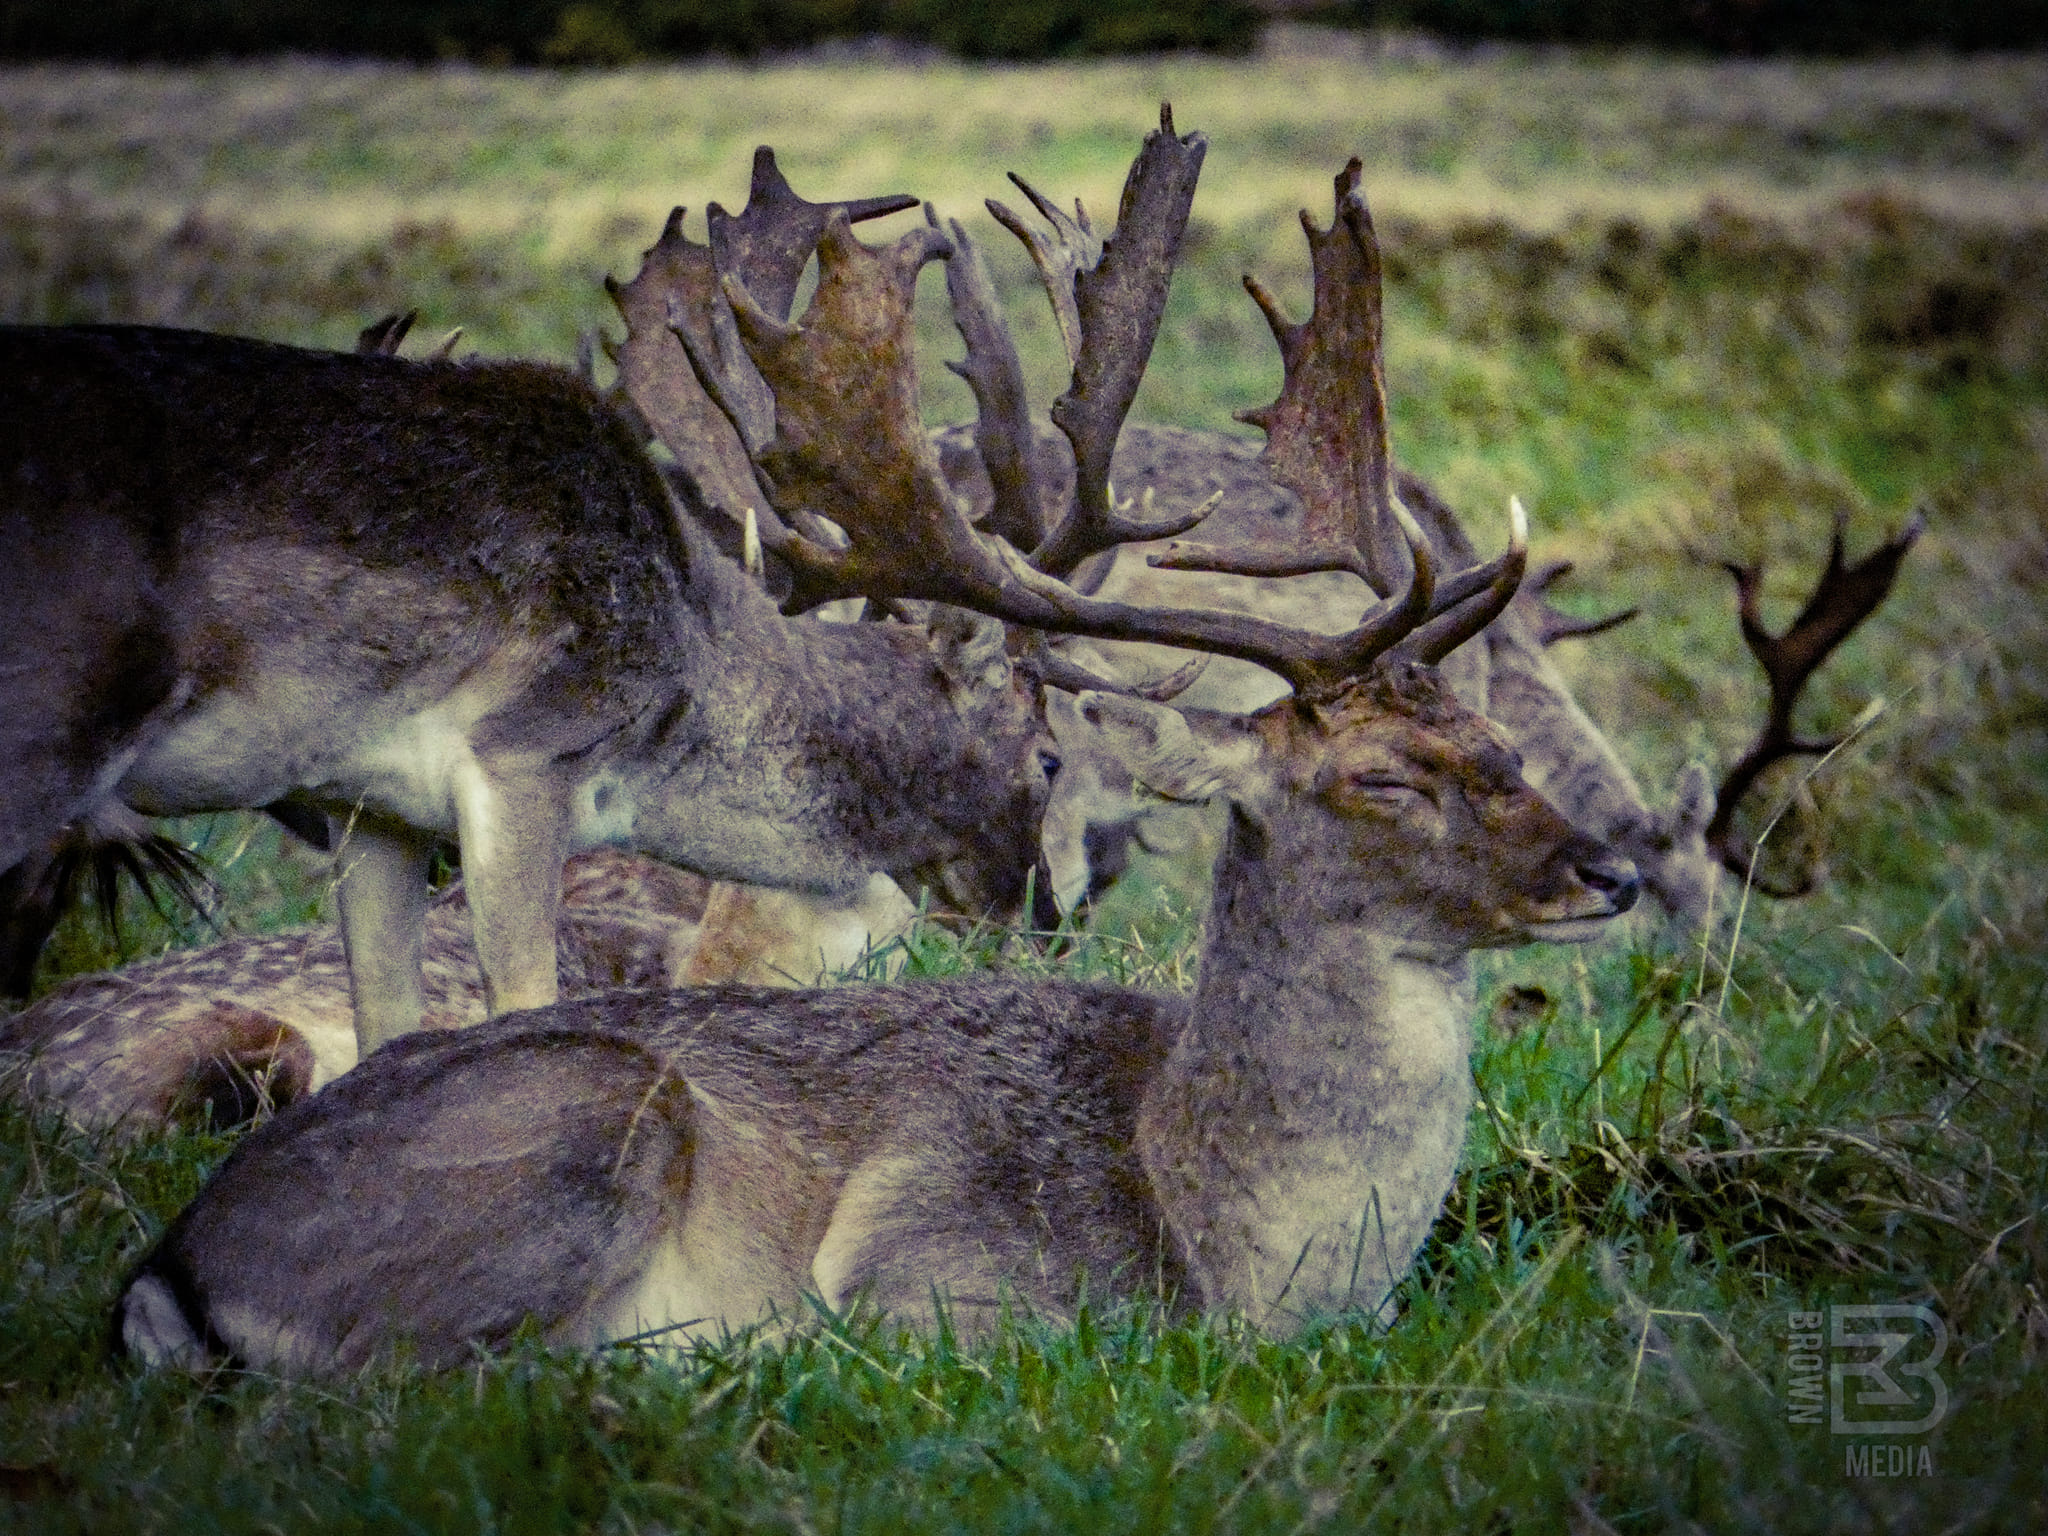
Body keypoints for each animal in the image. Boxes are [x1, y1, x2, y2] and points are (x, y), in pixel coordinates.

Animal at [119, 117, 1638, 1368]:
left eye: (1493, 737)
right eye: (1378, 776)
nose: (1609, 868)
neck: (1232, 1252)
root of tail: (169, 1269)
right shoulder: (941, 1268)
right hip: (589, 1120)